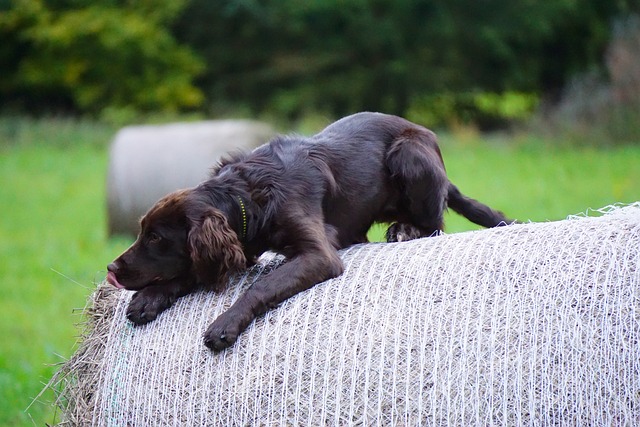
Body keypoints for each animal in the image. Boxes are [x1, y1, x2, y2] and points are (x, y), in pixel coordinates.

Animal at [107, 113, 512, 352]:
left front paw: (225, 323)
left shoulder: (319, 254)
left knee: (435, 225)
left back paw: (405, 230)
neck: (248, 194)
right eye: (142, 230)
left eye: (157, 238)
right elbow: (191, 271)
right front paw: (149, 298)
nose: (112, 269)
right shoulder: (240, 248)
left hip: (409, 155)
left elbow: (261, 286)